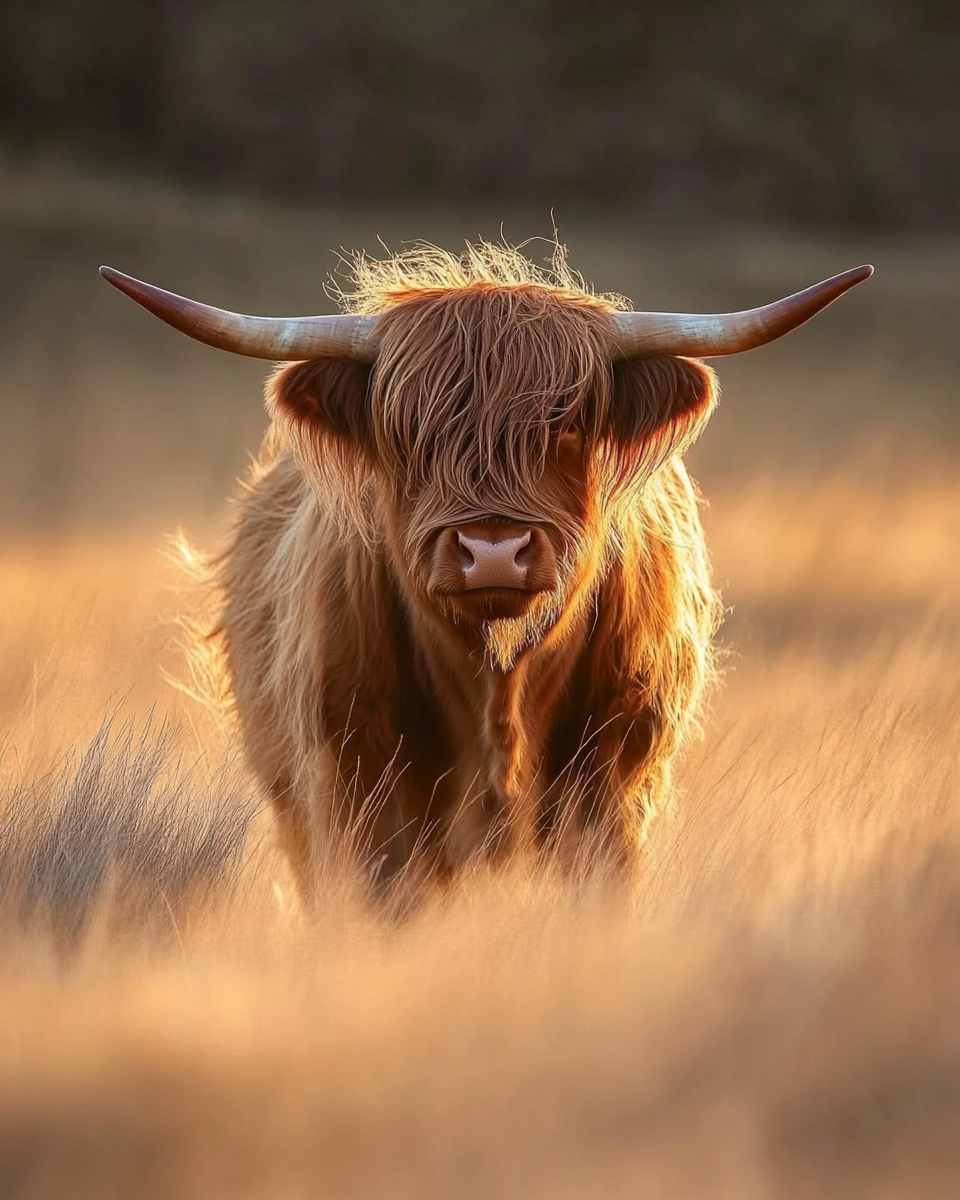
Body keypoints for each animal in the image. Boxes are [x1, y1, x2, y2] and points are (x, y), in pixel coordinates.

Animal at [101, 243, 873, 888]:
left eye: (566, 421)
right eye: (408, 431)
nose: (493, 551)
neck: (499, 688)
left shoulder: (615, 790)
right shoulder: (356, 792)